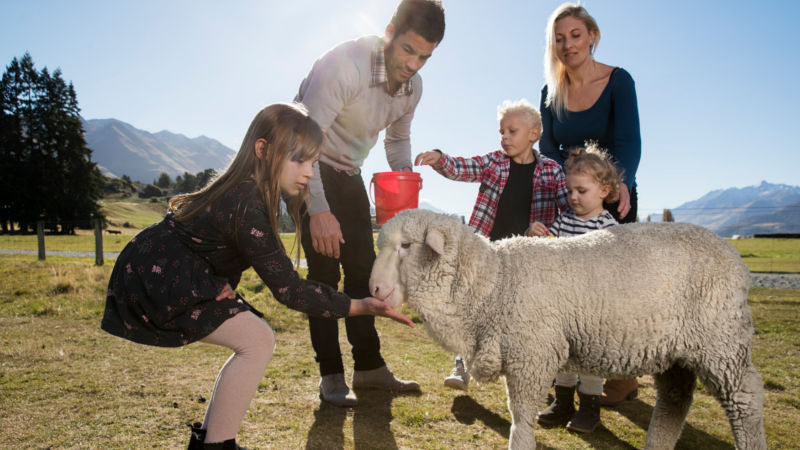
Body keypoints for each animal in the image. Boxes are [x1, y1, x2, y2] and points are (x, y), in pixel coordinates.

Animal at [370, 209, 768, 450]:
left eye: (406, 246)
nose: (373, 289)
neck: (494, 282)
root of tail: (735, 258)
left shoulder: (531, 358)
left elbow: (521, 417)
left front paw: (520, 441)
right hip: (678, 353)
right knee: (675, 400)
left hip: (720, 341)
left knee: (746, 399)